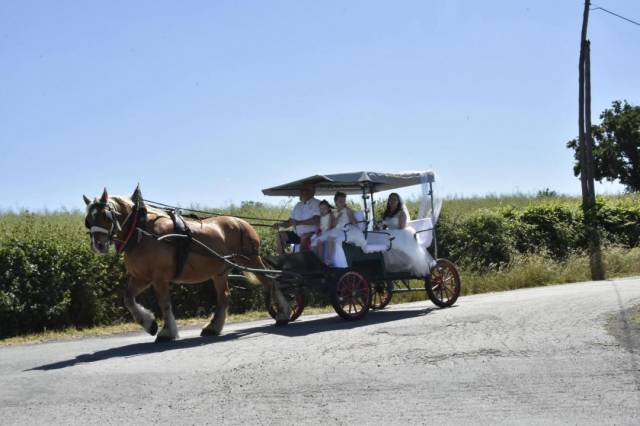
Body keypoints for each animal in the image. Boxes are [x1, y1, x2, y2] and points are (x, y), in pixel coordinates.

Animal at [83, 186, 290, 342]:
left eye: (106, 216)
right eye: (88, 220)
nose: (98, 245)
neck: (142, 232)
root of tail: (241, 222)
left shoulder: (159, 278)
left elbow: (165, 303)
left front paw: (167, 332)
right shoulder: (141, 277)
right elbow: (128, 299)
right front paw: (149, 324)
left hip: (251, 259)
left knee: (271, 281)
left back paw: (282, 314)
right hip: (220, 272)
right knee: (224, 297)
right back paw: (213, 327)